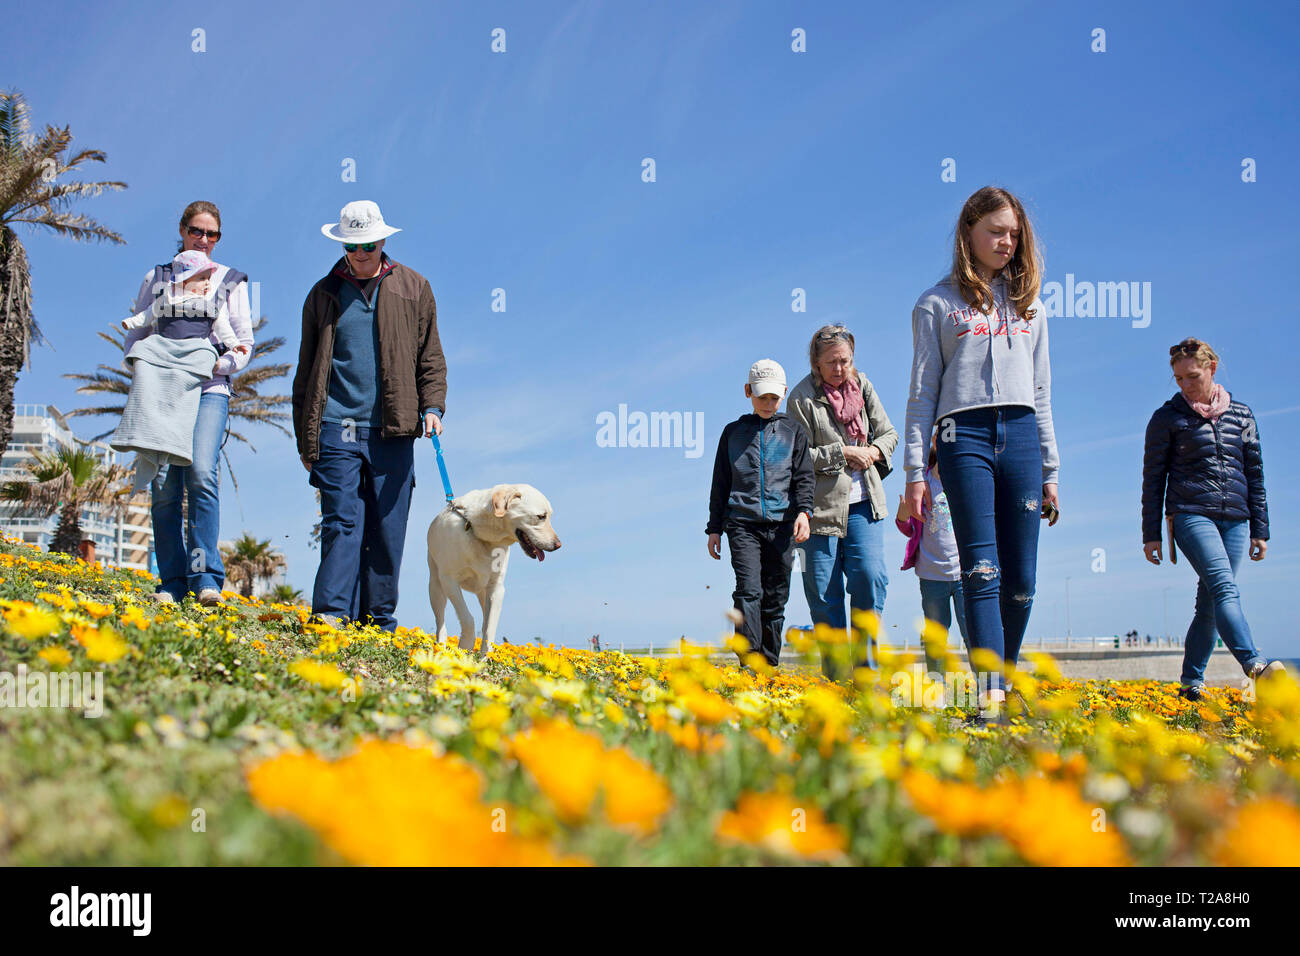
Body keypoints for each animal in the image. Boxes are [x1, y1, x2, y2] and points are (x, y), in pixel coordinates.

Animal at [426, 481, 559, 655]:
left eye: (549, 516)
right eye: (541, 516)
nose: (558, 545)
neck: (479, 533)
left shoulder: (497, 589)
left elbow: (489, 628)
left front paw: (484, 659)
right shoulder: (450, 581)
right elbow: (467, 619)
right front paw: (465, 645)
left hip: (483, 593)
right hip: (436, 589)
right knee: (440, 623)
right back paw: (440, 649)